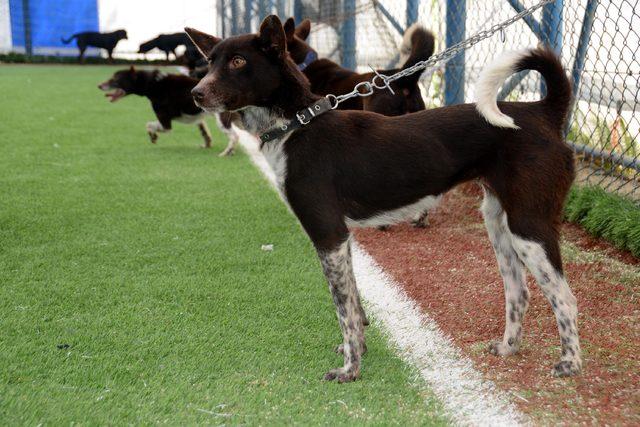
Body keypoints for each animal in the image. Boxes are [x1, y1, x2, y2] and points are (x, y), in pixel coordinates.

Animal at [184, 15, 580, 384]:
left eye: (238, 62)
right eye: (210, 61)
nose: (196, 94)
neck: (297, 127)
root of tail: (542, 111)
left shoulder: (328, 235)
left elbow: (344, 310)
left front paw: (350, 369)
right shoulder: (341, 240)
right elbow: (354, 304)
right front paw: (356, 351)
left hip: (529, 226)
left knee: (564, 296)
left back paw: (570, 364)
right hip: (499, 224)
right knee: (519, 292)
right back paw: (509, 348)